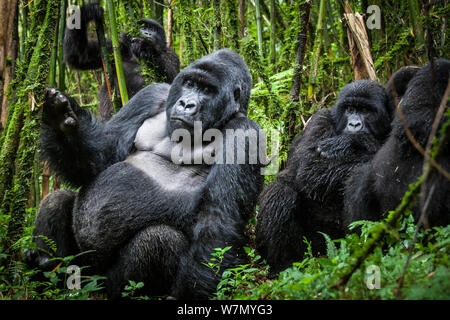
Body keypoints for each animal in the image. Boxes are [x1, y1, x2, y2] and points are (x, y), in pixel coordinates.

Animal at [27, 48, 264, 298]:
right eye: (190, 83)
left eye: (208, 91)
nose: (186, 103)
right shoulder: (151, 95)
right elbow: (101, 157)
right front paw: (60, 121)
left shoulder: (246, 134)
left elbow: (218, 217)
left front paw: (188, 294)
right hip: (84, 265)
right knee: (56, 200)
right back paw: (46, 267)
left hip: (107, 281)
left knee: (156, 241)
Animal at [255, 79, 396, 276]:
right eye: (349, 109)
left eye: (366, 110)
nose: (354, 125)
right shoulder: (319, 120)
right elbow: (310, 170)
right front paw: (357, 141)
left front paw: (353, 141)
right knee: (281, 191)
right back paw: (283, 265)